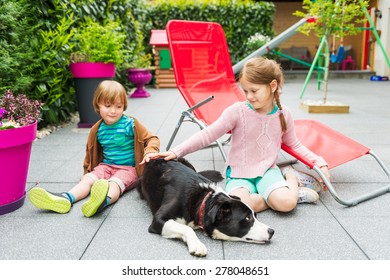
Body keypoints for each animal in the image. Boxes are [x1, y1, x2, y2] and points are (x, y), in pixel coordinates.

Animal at [136, 158, 274, 256]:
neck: (202, 200)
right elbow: (186, 228)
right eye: (247, 218)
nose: (272, 231)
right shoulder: (158, 220)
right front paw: (197, 244)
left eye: (255, 216)